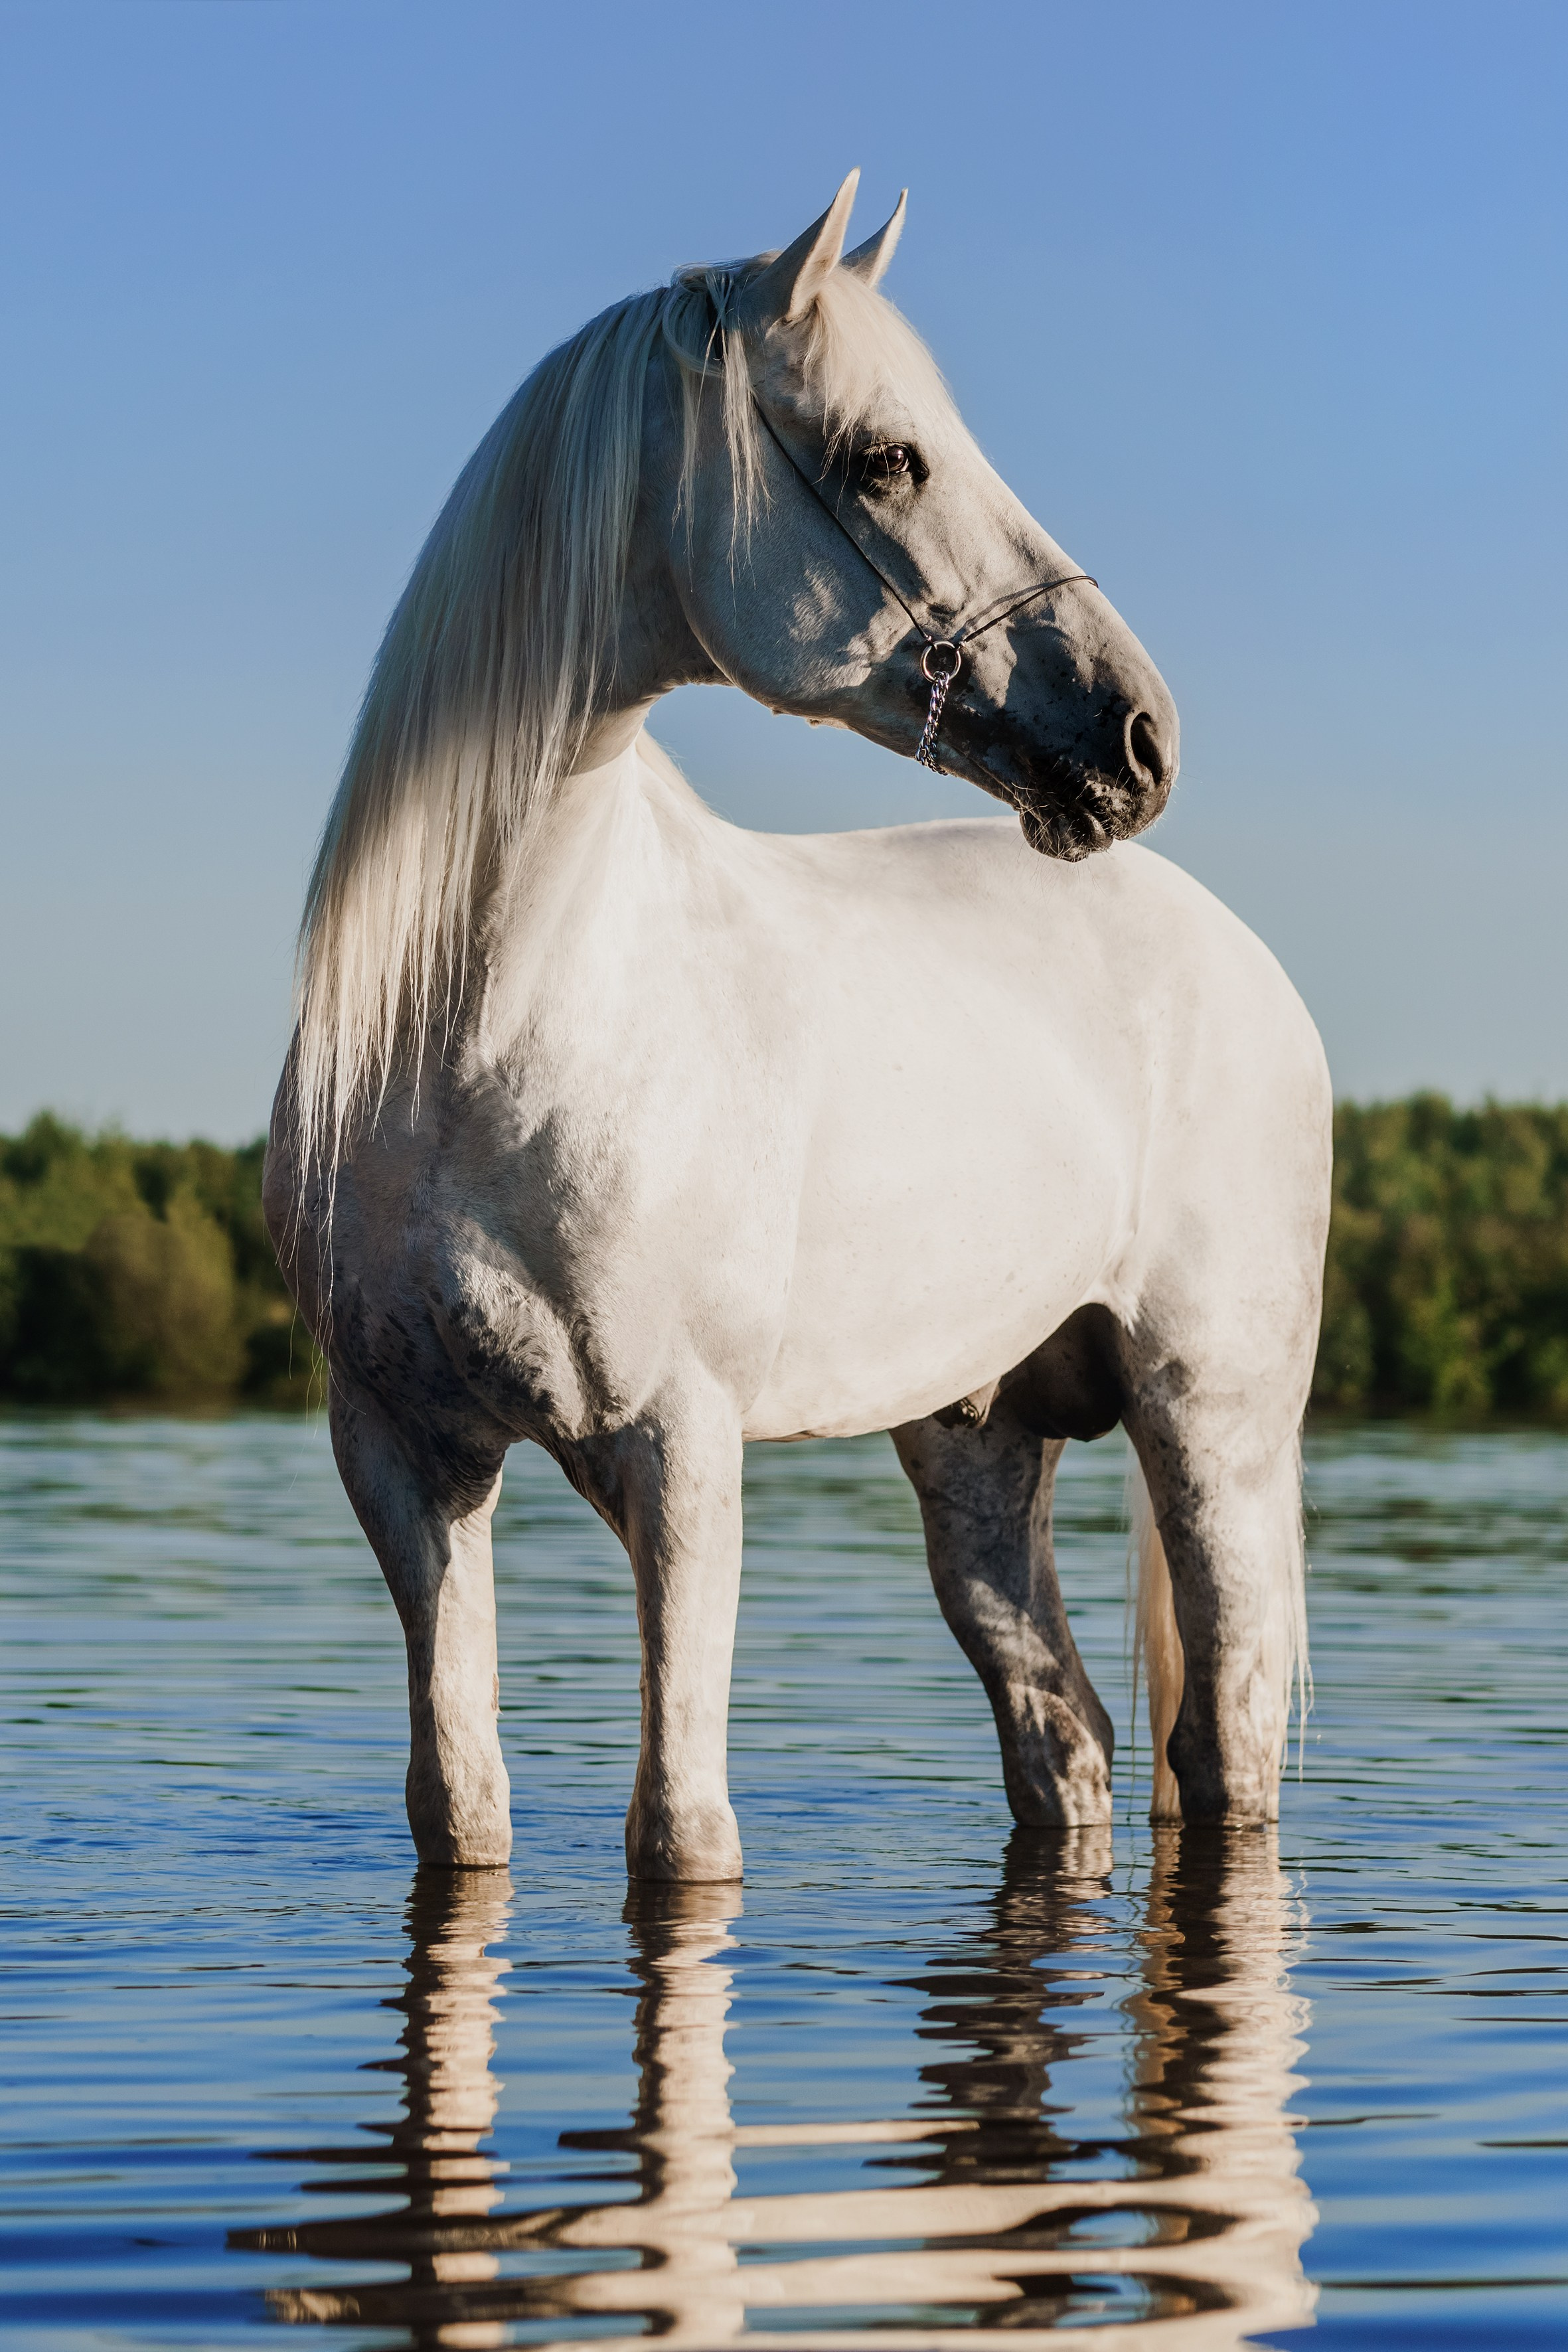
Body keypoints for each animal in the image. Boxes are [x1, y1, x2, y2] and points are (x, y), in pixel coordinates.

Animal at [265, 172, 1331, 1879]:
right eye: (886, 455)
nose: (1137, 739)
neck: (475, 1027)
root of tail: (1235, 953)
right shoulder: (405, 1461)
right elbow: (461, 1808)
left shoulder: (678, 1451)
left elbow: (678, 1829)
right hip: (974, 1446)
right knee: (1067, 1736)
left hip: (1211, 1430)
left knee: (1220, 1748)